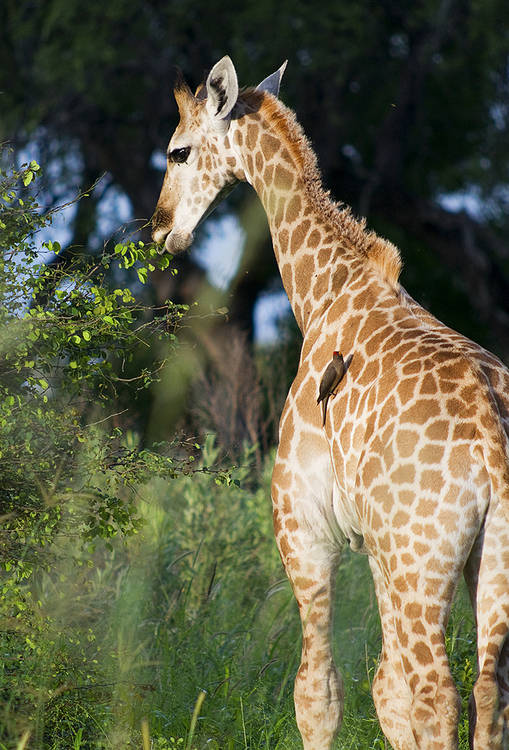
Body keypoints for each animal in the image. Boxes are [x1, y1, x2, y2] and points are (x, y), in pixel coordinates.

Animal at [151, 56, 509, 750]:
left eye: (179, 150)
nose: (159, 230)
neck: (323, 293)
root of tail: (493, 438)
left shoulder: (306, 529)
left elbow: (317, 694)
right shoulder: (375, 547)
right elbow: (385, 692)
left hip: (422, 558)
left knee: (439, 693)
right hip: (477, 557)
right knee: (486, 689)